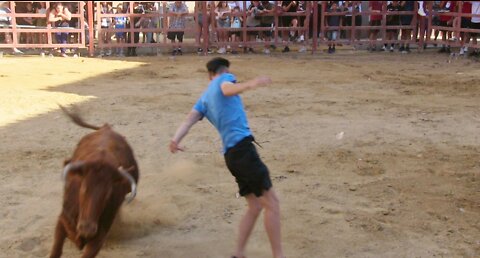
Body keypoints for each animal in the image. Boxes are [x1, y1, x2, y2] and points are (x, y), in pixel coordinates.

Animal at [51, 105, 141, 258]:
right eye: (82, 188)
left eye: (108, 194)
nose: (87, 229)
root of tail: (106, 128)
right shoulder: (62, 220)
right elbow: (55, 250)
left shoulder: (100, 237)